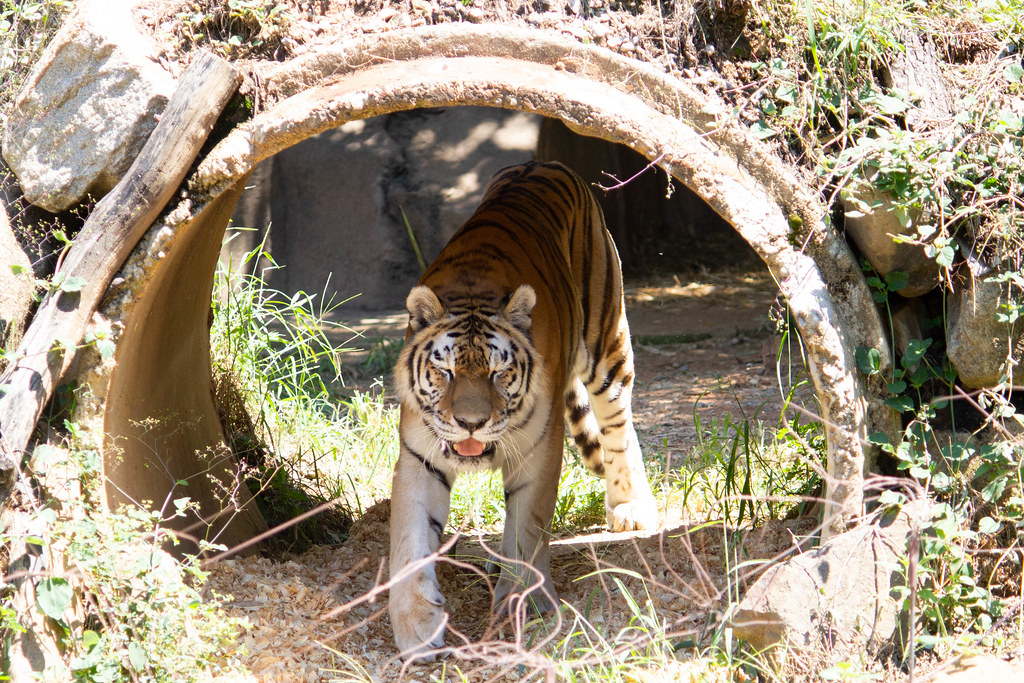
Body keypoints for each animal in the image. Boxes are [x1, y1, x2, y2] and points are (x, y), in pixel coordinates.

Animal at [389, 160, 658, 658]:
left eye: (499, 373)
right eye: (446, 371)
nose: (470, 423)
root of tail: (546, 162)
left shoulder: (539, 452)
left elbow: (527, 529)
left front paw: (524, 604)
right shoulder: (419, 458)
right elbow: (409, 541)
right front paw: (417, 626)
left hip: (609, 348)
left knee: (619, 427)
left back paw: (630, 506)